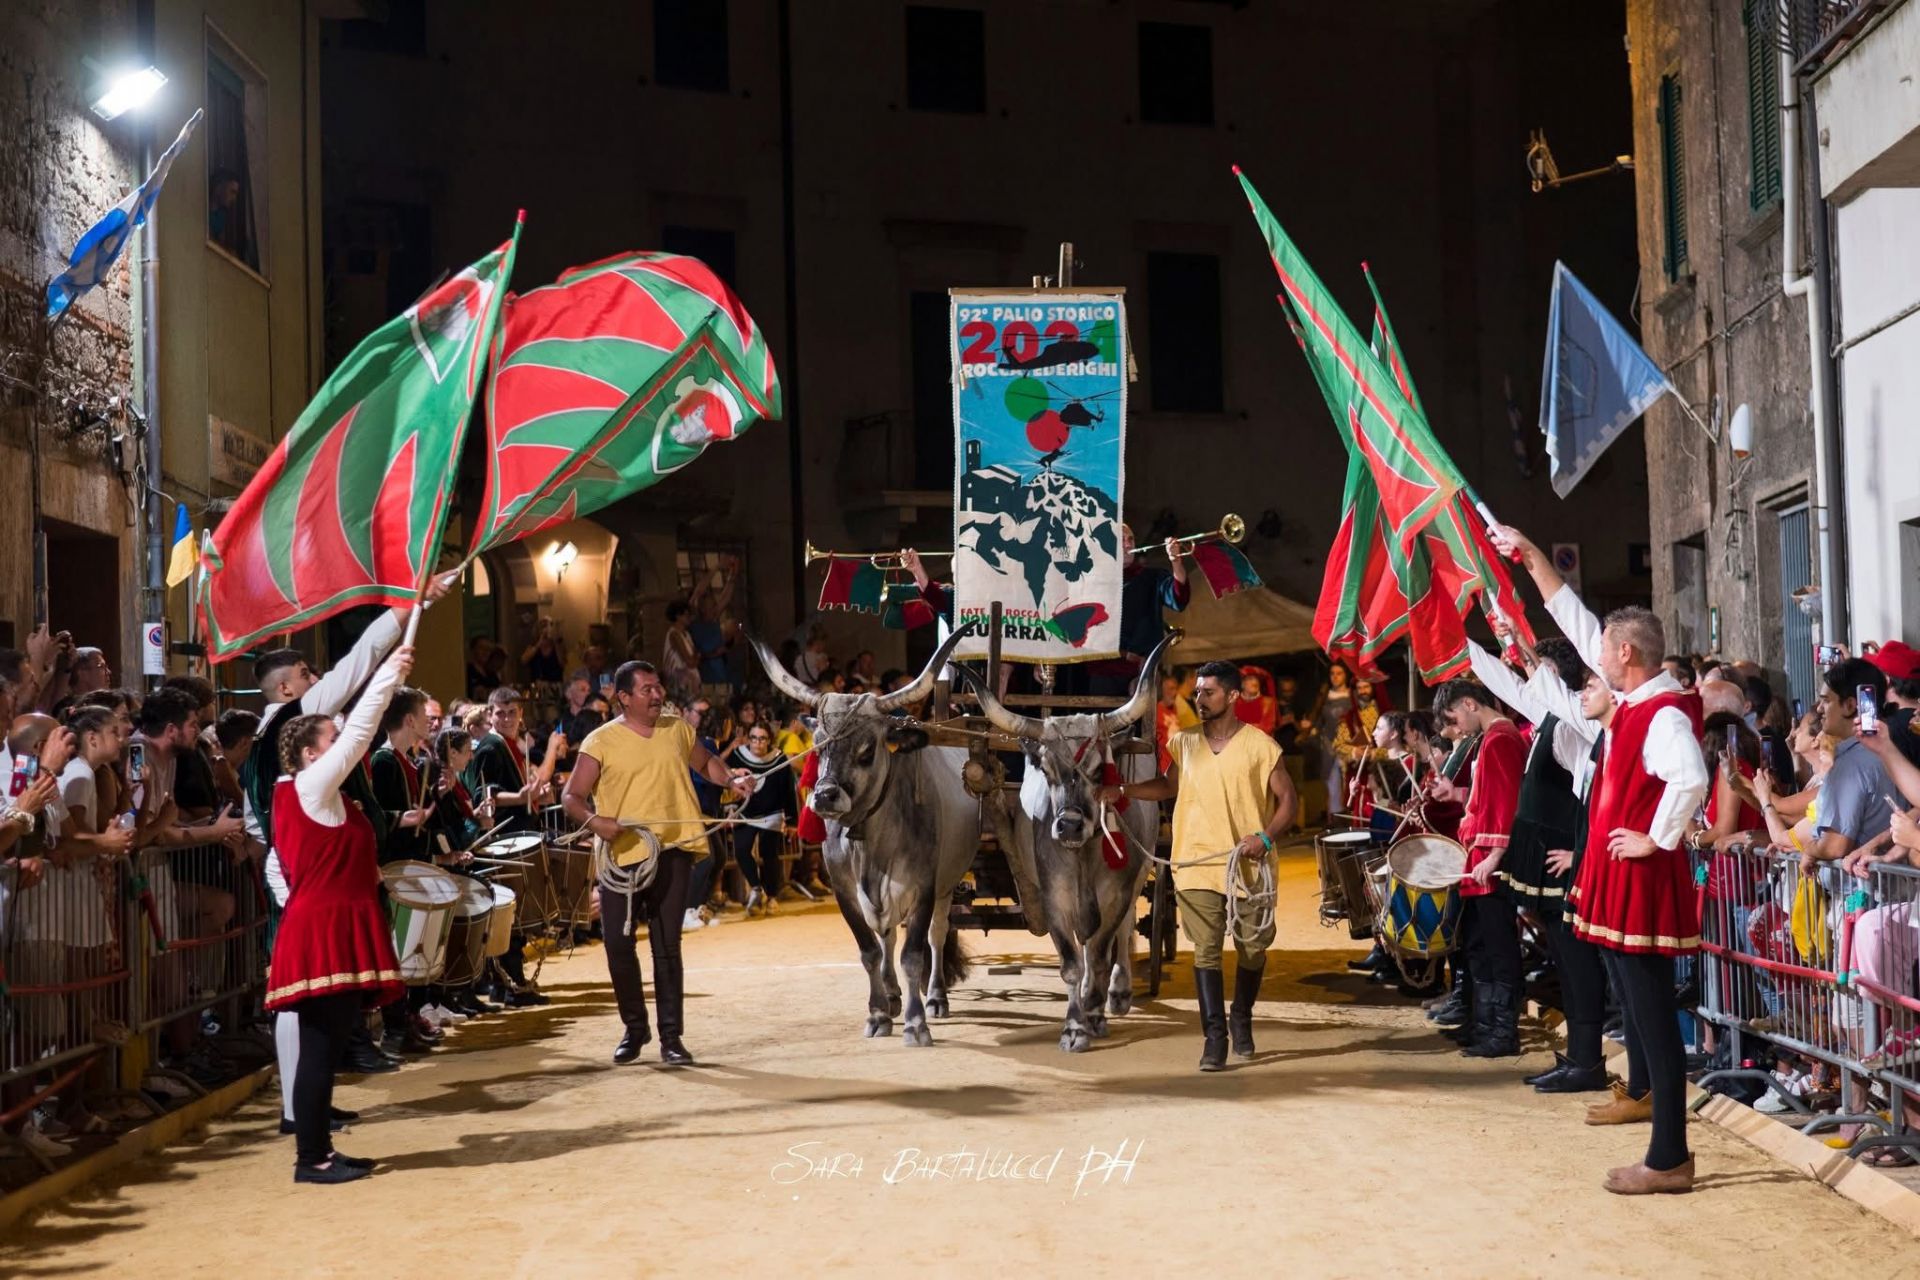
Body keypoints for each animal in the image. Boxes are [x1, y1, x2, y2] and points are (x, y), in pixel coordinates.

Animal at [754, 627, 978, 1047]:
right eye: (820, 742)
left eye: (867, 749)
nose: (825, 795)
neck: (871, 844)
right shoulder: (845, 890)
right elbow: (870, 950)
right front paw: (878, 1012)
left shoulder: (923, 886)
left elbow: (914, 954)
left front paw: (916, 1023)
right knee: (887, 936)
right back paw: (891, 996)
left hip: (947, 885)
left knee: (938, 935)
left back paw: (936, 997)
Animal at [960, 641, 1167, 1053]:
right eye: (1046, 768)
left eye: (1099, 770)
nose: (1068, 824)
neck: (1082, 854)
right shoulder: (1053, 898)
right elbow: (1073, 963)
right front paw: (1074, 1026)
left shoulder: (1117, 894)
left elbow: (1101, 953)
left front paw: (1094, 1012)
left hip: (1138, 874)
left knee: (1122, 934)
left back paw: (1116, 995)